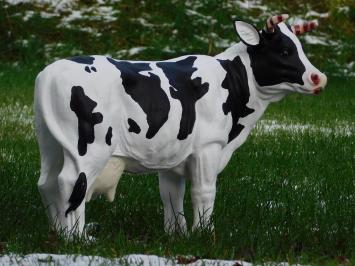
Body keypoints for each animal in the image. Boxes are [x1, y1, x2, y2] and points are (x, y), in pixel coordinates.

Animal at [34, 15, 328, 235]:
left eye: (300, 48)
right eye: (284, 50)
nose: (318, 77)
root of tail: (49, 73)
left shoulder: (173, 153)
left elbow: (171, 195)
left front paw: (178, 233)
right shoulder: (209, 147)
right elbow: (204, 191)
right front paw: (204, 233)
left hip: (50, 142)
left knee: (47, 182)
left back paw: (57, 231)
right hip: (89, 147)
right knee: (72, 183)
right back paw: (76, 237)